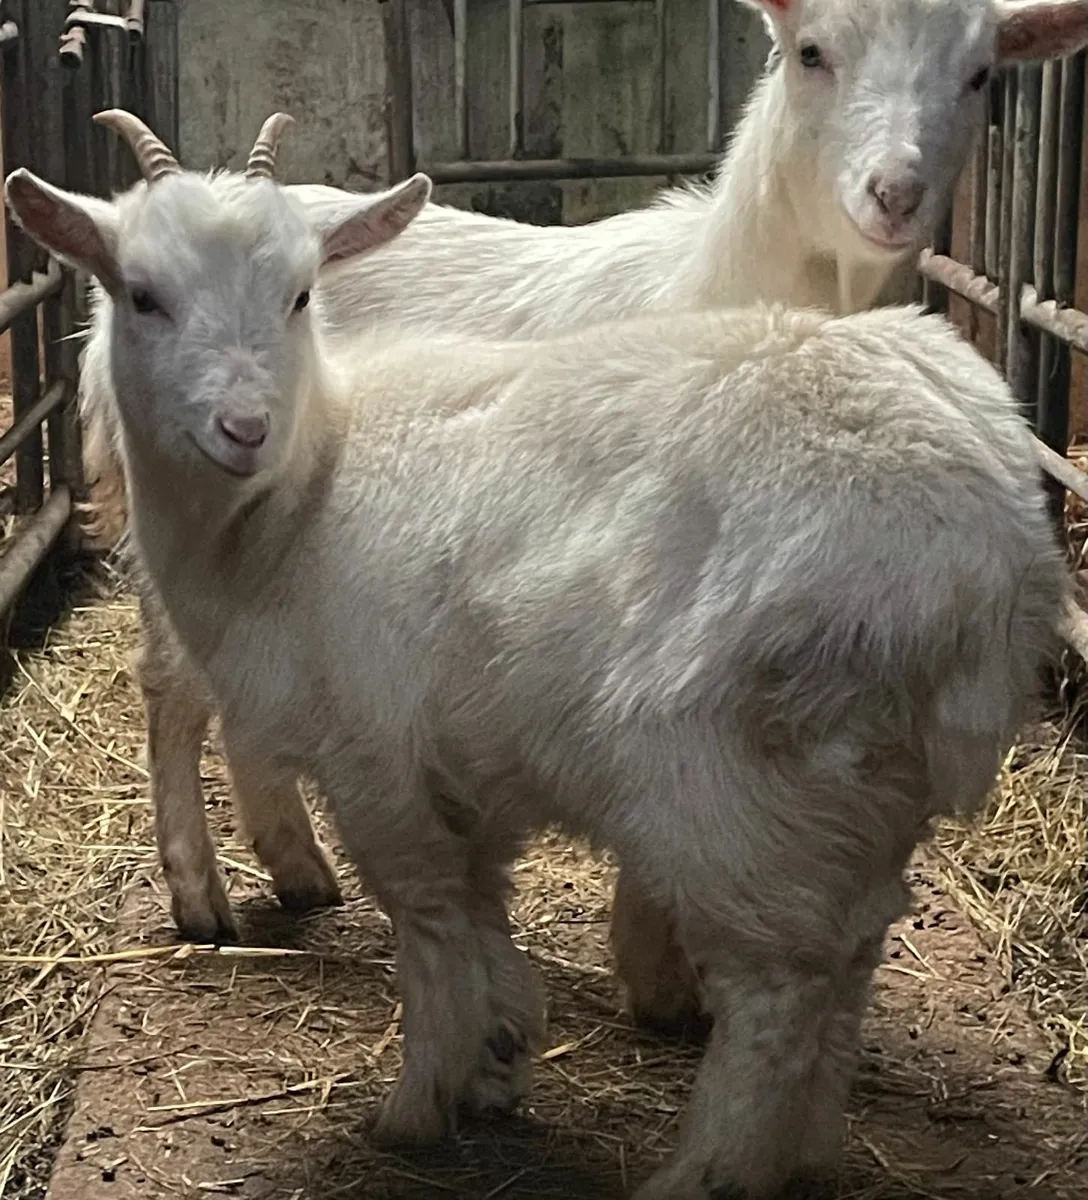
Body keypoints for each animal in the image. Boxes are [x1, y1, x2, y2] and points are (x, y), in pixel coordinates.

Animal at [6, 112, 1065, 1199]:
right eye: (142, 295)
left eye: (300, 295)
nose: (244, 428)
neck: (296, 496)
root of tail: (990, 546)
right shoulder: (462, 763)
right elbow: (481, 909)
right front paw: (499, 1055)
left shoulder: (374, 753)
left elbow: (429, 923)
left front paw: (418, 1103)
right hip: (861, 783)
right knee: (851, 956)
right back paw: (804, 1154)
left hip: (733, 778)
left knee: (777, 990)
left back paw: (705, 1169)